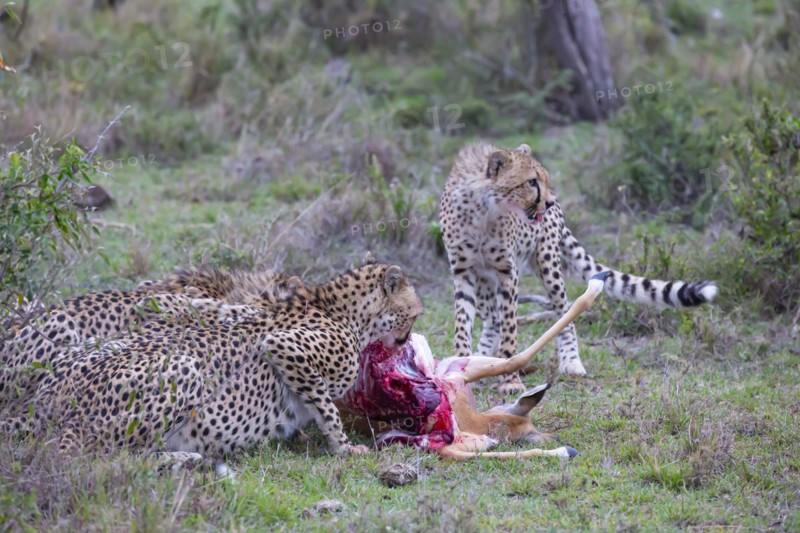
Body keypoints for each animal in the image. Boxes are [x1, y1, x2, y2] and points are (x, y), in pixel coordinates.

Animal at [1, 259, 424, 472]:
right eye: (416, 313)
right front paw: (344, 448)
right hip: (181, 369)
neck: (342, 309)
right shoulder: (285, 348)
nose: (407, 339)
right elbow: (327, 409)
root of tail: (56, 404)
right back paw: (186, 458)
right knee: (99, 455)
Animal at [439, 141, 718, 393]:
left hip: (547, 263)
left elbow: (510, 330)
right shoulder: (464, 272)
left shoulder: (508, 272)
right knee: (492, 319)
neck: (480, 209)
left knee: (563, 310)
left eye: (543, 180)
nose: (549, 201)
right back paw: (481, 358)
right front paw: (460, 367)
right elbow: (463, 326)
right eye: (531, 181)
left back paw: (571, 362)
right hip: (486, 278)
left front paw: (510, 381)